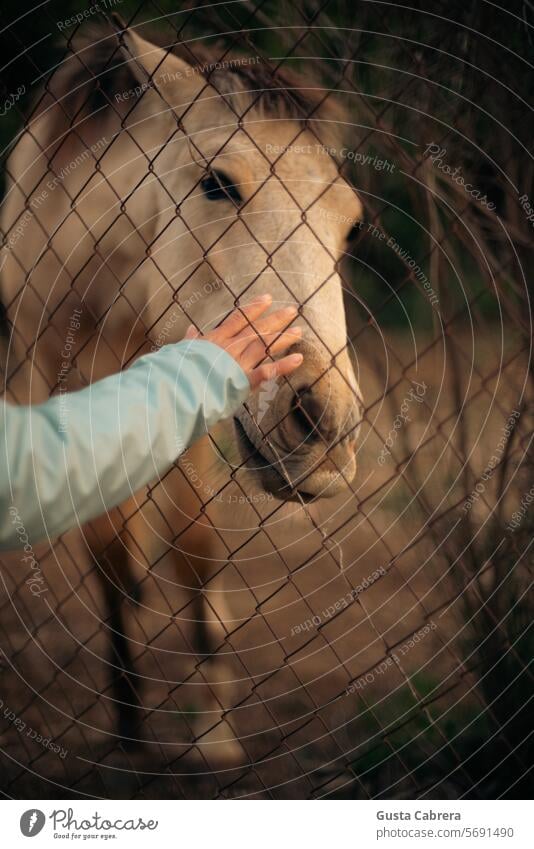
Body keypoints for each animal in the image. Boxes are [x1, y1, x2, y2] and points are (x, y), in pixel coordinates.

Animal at [0, 19, 364, 760]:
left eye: (352, 222)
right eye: (217, 184)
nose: (327, 428)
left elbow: (196, 553)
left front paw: (214, 731)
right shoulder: (64, 391)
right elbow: (112, 561)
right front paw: (130, 721)